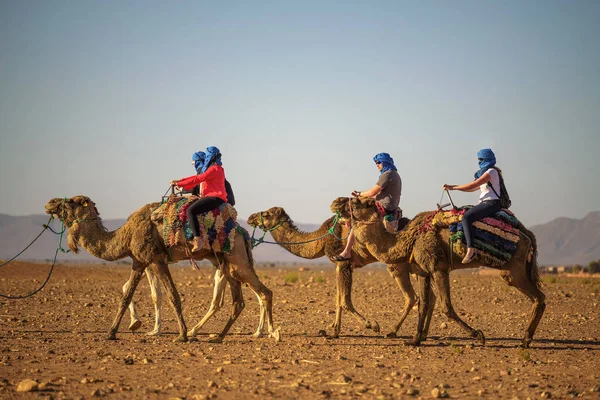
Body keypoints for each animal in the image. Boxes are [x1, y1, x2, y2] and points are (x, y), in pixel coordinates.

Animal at [44, 195, 278, 342]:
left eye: (71, 201)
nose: (49, 203)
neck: (125, 234)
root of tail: (242, 232)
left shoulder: (151, 260)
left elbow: (166, 295)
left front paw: (181, 335)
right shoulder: (145, 261)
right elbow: (133, 295)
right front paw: (115, 331)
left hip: (236, 259)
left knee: (264, 292)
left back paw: (272, 333)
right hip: (226, 263)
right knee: (238, 301)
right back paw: (218, 337)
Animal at [244, 206, 426, 338]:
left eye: (266, 214)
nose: (250, 218)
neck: (322, 239)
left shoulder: (344, 262)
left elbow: (344, 300)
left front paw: (372, 325)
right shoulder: (339, 266)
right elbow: (338, 299)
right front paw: (334, 331)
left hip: (398, 265)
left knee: (411, 297)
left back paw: (393, 331)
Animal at [330, 197, 548, 346]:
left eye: (357, 201)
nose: (335, 202)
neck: (407, 239)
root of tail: (527, 235)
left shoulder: (438, 268)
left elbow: (446, 306)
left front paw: (478, 335)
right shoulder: (422, 271)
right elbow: (424, 304)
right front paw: (415, 339)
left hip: (514, 269)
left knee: (539, 297)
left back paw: (525, 340)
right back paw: (526, 339)